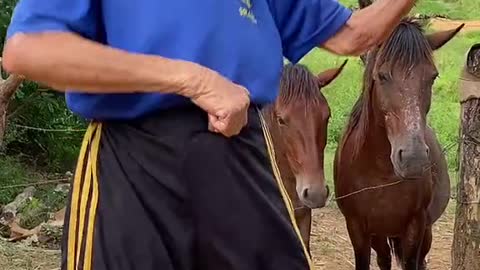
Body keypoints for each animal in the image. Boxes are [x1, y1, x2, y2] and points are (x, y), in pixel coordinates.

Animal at [332, 4, 464, 270]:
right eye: (382, 75)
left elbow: (411, 262)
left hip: (424, 232)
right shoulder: (358, 229)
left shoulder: (415, 227)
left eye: (432, 76)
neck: (382, 174)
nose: (413, 159)